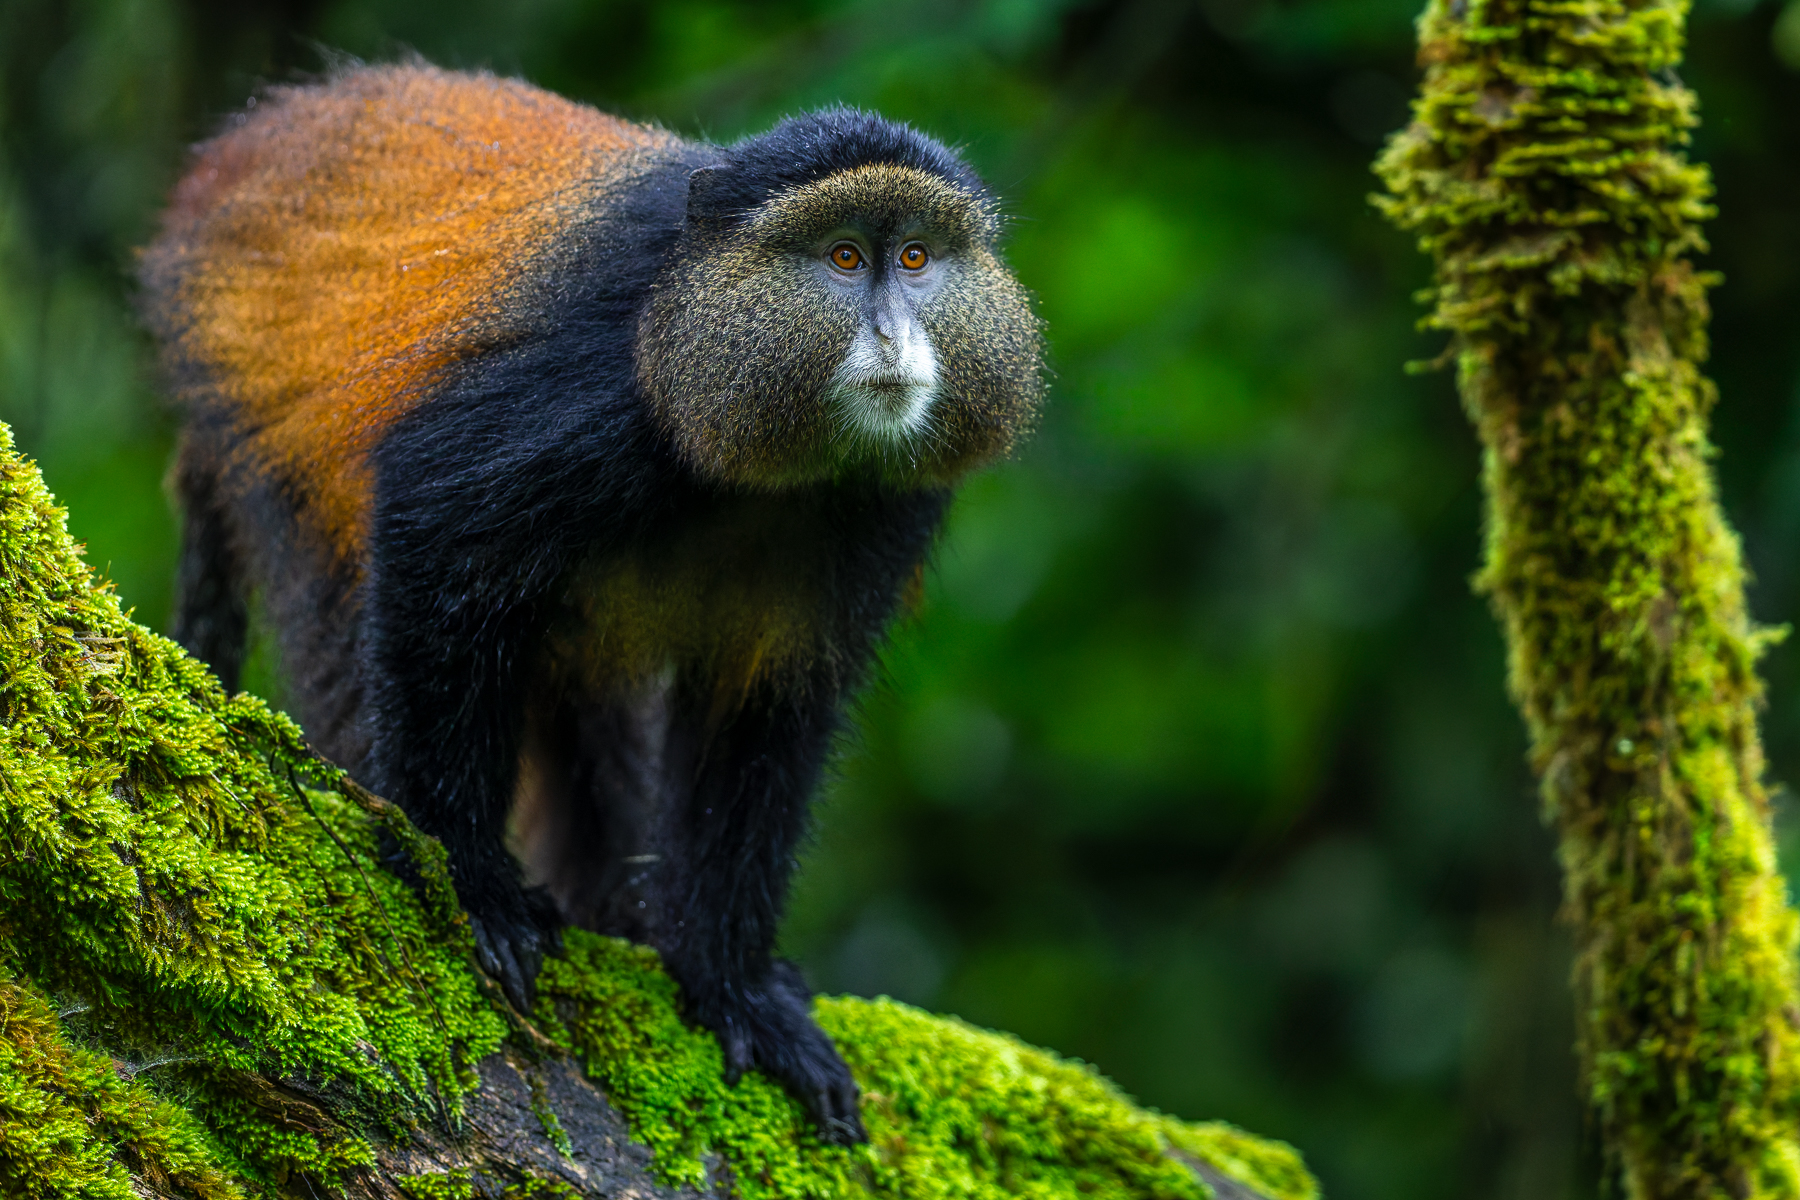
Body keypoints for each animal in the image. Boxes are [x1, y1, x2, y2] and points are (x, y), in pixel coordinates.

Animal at [138, 62, 1042, 1142]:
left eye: (915, 257)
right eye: (842, 256)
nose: (896, 336)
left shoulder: (887, 505)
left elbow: (766, 713)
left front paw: (732, 985)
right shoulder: (595, 393)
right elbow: (436, 516)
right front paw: (471, 881)